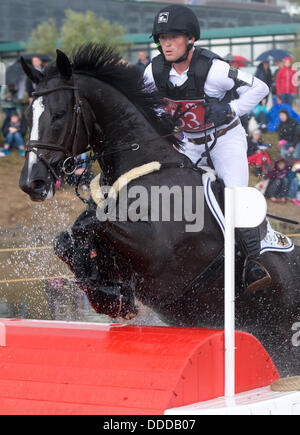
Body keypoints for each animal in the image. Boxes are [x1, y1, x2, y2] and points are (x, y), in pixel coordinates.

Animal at [19, 45, 298, 378]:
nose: (31, 182)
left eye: (59, 114)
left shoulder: (158, 253)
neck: (146, 169)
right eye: (27, 116)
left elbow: (93, 222)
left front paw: (107, 293)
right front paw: (106, 292)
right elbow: (70, 235)